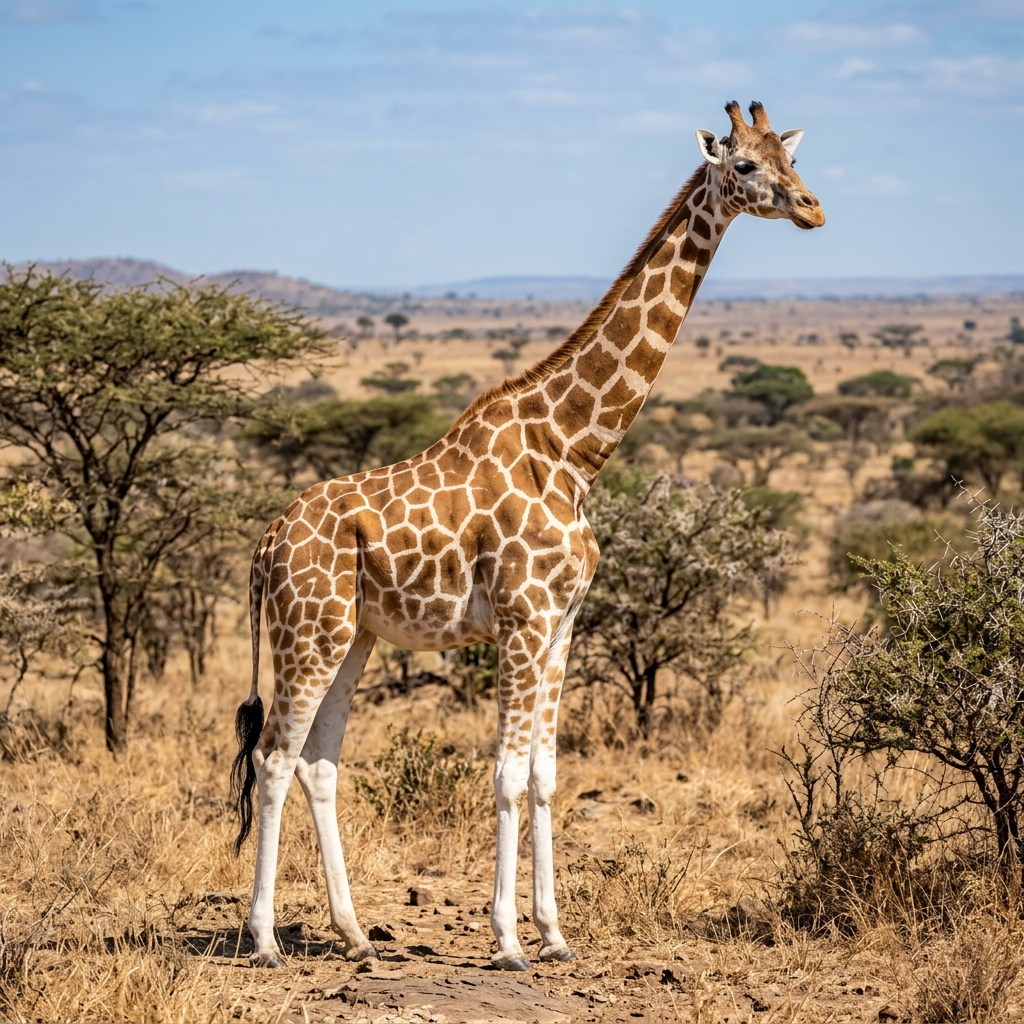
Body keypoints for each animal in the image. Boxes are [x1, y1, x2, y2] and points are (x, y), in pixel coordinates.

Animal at [231, 100, 824, 971]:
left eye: (791, 157)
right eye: (745, 165)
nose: (814, 209)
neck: (573, 449)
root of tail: (267, 541)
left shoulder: (563, 624)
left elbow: (545, 774)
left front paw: (554, 933)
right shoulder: (520, 618)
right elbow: (507, 776)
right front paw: (508, 940)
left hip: (356, 636)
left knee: (318, 760)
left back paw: (354, 932)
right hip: (310, 630)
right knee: (274, 758)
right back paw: (266, 939)